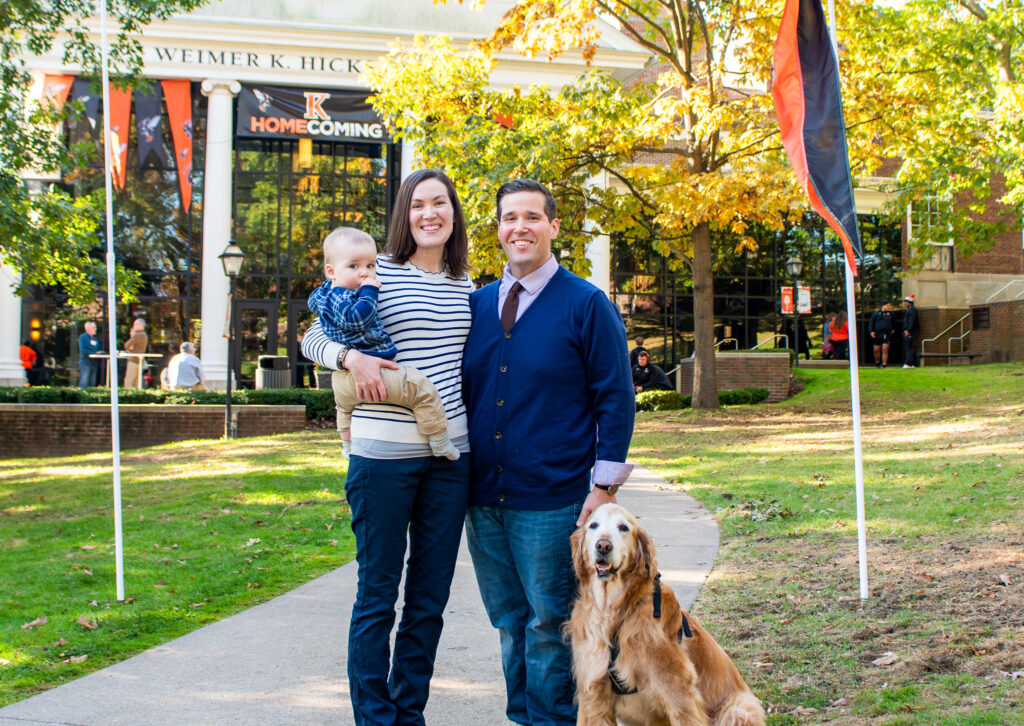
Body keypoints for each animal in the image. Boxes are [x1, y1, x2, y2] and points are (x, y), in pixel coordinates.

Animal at [573, 503, 765, 724]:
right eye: (593, 525)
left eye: (623, 527)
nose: (603, 546)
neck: (615, 609)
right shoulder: (593, 690)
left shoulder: (676, 688)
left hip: (737, 708)